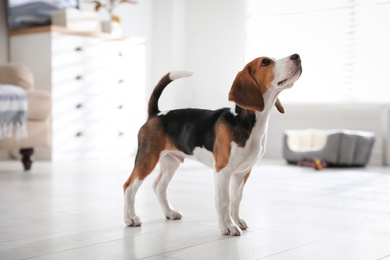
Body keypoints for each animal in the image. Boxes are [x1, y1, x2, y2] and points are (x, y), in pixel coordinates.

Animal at [122, 52, 302, 236]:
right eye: (265, 62)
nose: (296, 56)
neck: (248, 122)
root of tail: (156, 114)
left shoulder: (242, 172)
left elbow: (236, 199)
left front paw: (237, 221)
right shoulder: (222, 172)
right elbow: (224, 201)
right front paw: (228, 227)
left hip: (171, 162)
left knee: (159, 186)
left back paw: (169, 212)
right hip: (147, 159)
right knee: (129, 186)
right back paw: (131, 218)